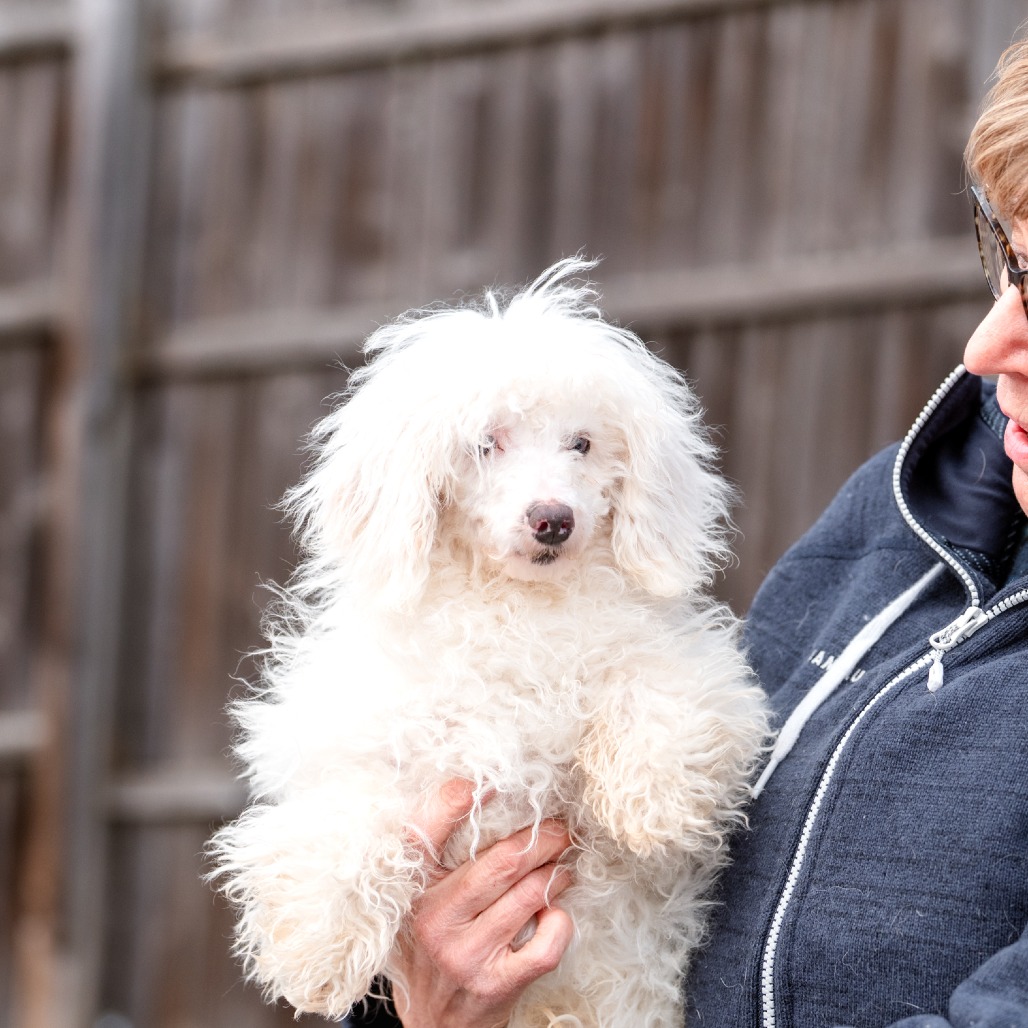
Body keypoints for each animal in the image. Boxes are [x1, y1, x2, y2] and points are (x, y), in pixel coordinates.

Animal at [209, 258, 769, 1027]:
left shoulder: (682, 664)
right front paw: (317, 946)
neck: (516, 609)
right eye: (485, 443)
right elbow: (344, 817)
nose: (553, 519)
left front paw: (652, 802)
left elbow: (659, 685)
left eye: (581, 444)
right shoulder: (369, 739)